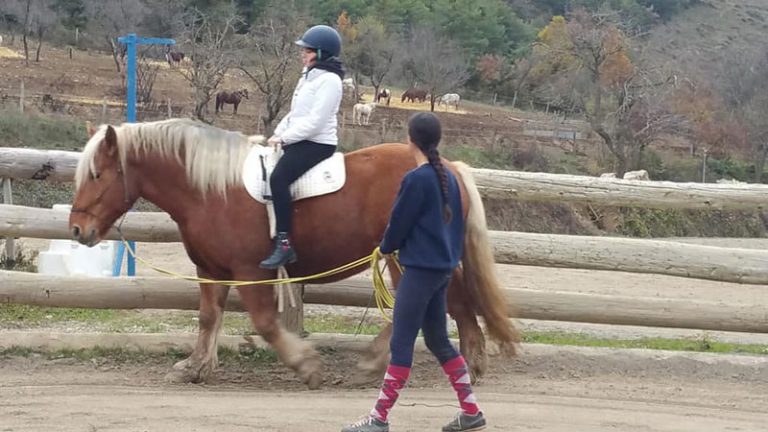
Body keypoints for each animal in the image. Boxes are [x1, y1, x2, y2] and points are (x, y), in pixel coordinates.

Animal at [72, 119, 520, 392]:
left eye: (96, 174)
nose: (78, 230)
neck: (211, 189)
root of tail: (445, 165)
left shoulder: (249, 271)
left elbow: (266, 323)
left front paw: (305, 365)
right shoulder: (211, 269)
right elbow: (208, 318)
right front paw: (195, 367)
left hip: (402, 257)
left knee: (427, 305)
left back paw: (396, 361)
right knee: (444, 302)